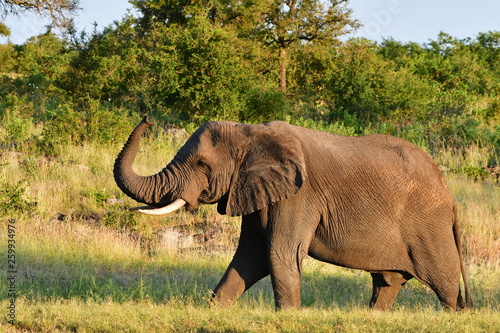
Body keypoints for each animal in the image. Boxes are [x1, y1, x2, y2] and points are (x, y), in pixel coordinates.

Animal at [113, 115, 472, 310]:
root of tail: (449, 193)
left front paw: (287, 316)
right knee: (387, 283)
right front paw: (214, 310)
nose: (148, 118)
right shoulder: (256, 190)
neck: (250, 132)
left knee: (445, 284)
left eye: (202, 165)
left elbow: (279, 253)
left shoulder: (299, 196)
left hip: (429, 225)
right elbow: (250, 258)